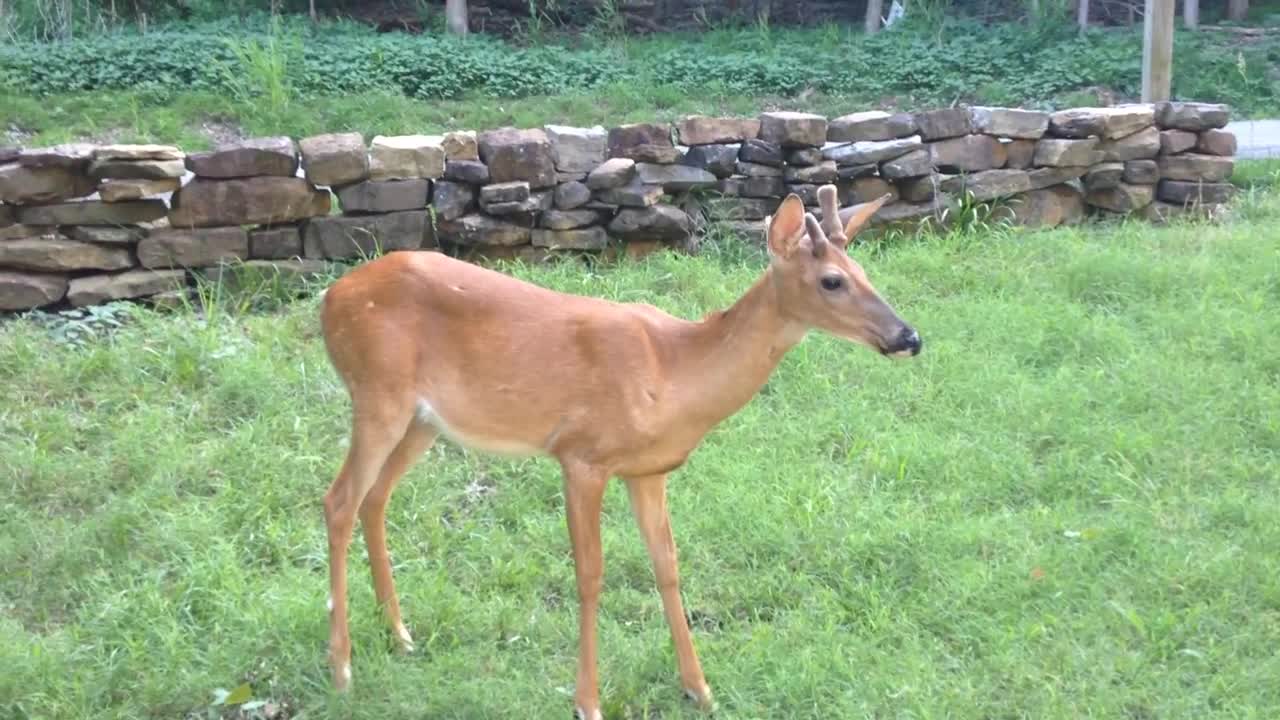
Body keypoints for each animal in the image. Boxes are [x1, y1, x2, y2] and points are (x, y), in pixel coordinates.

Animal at [318, 181, 921, 712]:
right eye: (831, 281)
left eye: (866, 272)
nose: (909, 336)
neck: (676, 374)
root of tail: (329, 299)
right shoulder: (581, 455)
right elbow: (590, 575)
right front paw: (588, 701)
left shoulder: (647, 470)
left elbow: (668, 566)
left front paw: (699, 689)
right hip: (377, 393)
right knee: (339, 500)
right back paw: (342, 667)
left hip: (423, 420)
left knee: (376, 499)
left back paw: (400, 634)